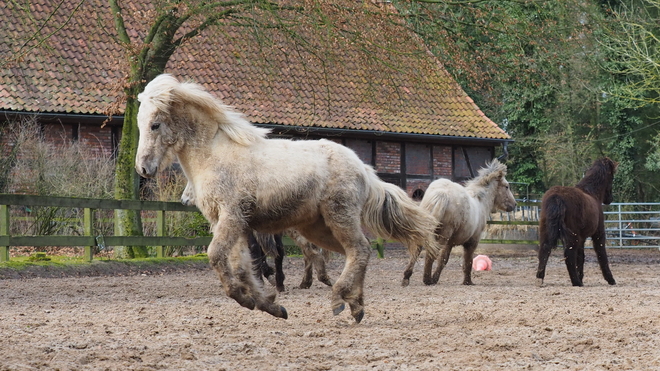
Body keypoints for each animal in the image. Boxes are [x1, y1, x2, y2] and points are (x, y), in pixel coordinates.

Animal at [135, 74, 440, 324]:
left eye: (155, 124)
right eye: (139, 124)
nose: (143, 168)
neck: (216, 155)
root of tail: (363, 168)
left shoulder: (231, 217)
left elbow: (217, 256)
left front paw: (251, 300)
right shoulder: (234, 224)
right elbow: (244, 268)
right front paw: (271, 306)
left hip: (339, 217)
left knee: (360, 250)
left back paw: (339, 300)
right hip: (318, 228)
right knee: (351, 253)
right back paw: (356, 306)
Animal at [536, 157, 620, 288]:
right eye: (612, 177)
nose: (610, 199)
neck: (592, 193)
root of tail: (556, 198)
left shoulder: (582, 238)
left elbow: (581, 257)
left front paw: (581, 276)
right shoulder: (598, 234)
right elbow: (601, 255)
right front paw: (610, 279)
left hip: (546, 231)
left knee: (545, 250)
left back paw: (540, 279)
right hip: (572, 236)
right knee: (569, 254)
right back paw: (576, 282)